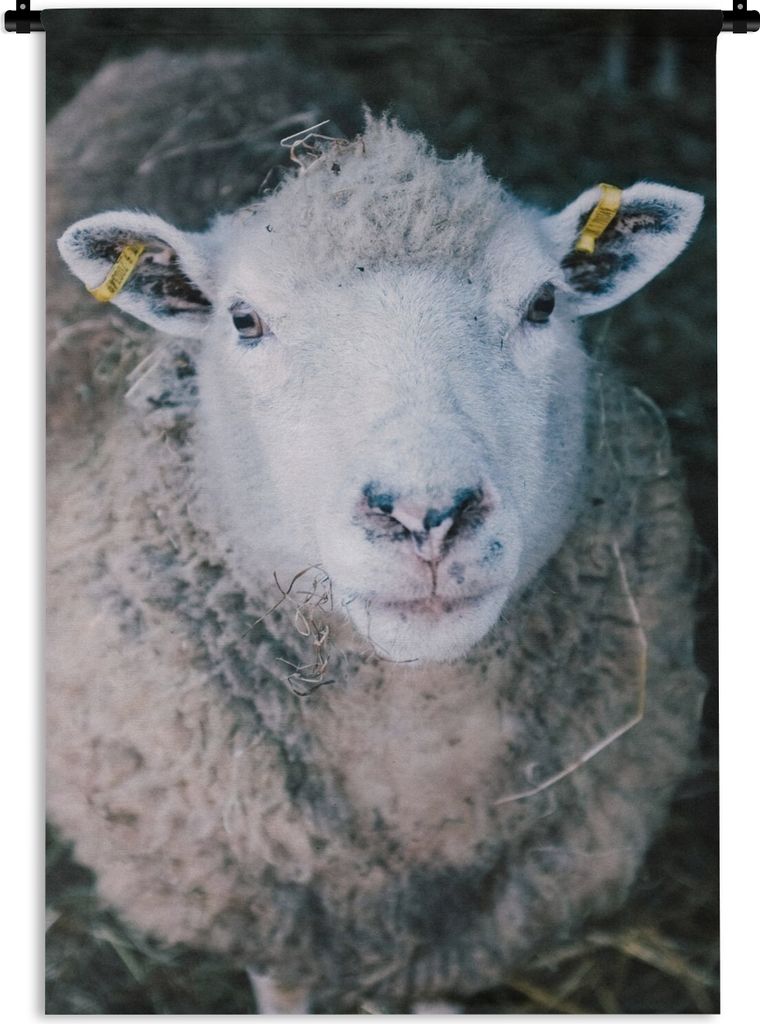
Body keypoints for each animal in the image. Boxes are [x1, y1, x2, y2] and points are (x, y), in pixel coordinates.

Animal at [47, 50, 708, 1013]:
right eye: (244, 320)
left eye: (543, 304)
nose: (425, 515)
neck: (416, 759)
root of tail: (187, 57)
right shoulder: (266, 908)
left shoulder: (467, 935)